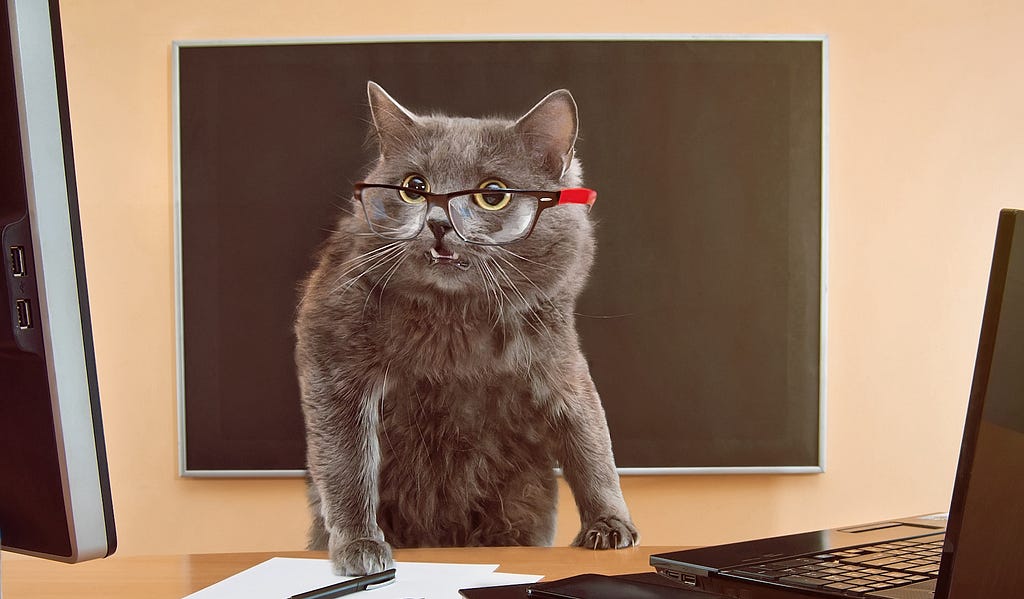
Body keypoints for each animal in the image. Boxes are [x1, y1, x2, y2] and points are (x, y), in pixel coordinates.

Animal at [292, 80, 634, 573]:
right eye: (414, 188)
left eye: (493, 194)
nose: (437, 222)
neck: (455, 318)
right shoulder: (334, 359)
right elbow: (347, 460)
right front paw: (361, 546)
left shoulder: (558, 361)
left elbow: (589, 436)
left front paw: (610, 524)